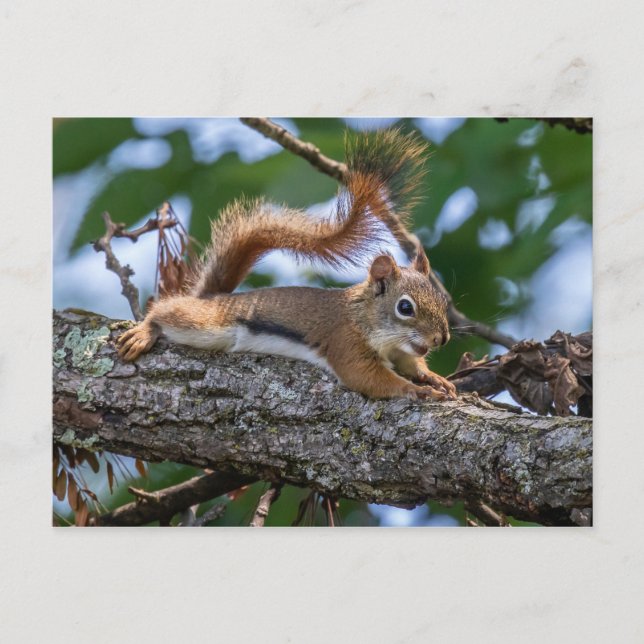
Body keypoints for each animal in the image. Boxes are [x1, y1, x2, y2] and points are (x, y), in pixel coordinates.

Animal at [116, 129, 457, 401]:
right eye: (405, 308)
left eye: (443, 300)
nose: (441, 339)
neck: (365, 316)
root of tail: (211, 297)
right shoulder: (346, 343)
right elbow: (370, 379)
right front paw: (416, 390)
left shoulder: (400, 350)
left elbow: (411, 363)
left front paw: (433, 377)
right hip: (204, 324)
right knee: (168, 312)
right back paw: (144, 331)